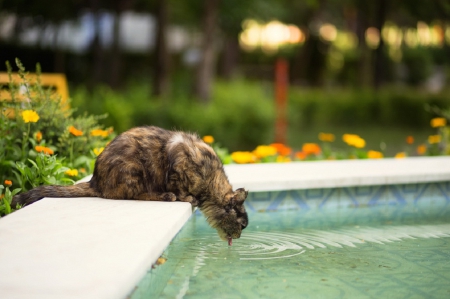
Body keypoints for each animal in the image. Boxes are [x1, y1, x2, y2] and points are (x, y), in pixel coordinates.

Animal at [11, 126, 250, 246]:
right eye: (242, 225)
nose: (240, 236)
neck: (210, 182)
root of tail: (96, 180)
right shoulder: (178, 164)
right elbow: (181, 188)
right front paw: (187, 197)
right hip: (134, 169)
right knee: (135, 195)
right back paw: (166, 195)